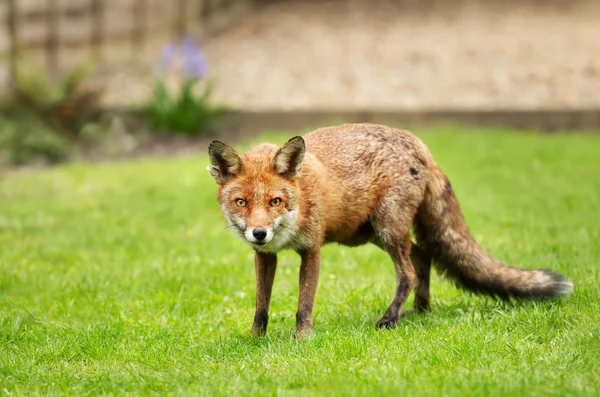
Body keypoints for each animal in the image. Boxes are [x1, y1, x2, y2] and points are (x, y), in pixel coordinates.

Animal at [209, 122, 576, 336]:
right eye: (241, 202)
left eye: (275, 201)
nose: (259, 233)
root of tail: (421, 146)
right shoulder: (264, 256)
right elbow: (261, 305)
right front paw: (256, 341)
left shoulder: (310, 249)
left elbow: (304, 305)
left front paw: (302, 340)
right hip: (374, 234)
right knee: (424, 255)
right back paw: (422, 309)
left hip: (387, 230)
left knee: (408, 272)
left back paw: (391, 319)